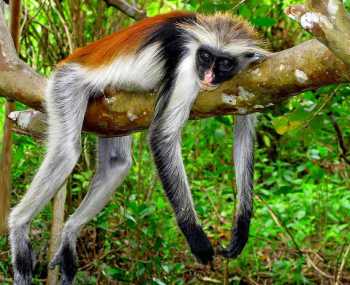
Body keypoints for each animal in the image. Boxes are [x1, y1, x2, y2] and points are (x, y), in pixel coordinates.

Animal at [8, 10, 268, 282]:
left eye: (224, 63)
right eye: (205, 56)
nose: (207, 76)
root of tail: (71, 59)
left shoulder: (252, 76)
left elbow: (244, 130)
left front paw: (242, 226)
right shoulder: (187, 64)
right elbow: (162, 137)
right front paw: (195, 235)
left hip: (112, 111)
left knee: (117, 164)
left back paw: (69, 231)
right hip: (65, 84)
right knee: (67, 152)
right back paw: (18, 226)